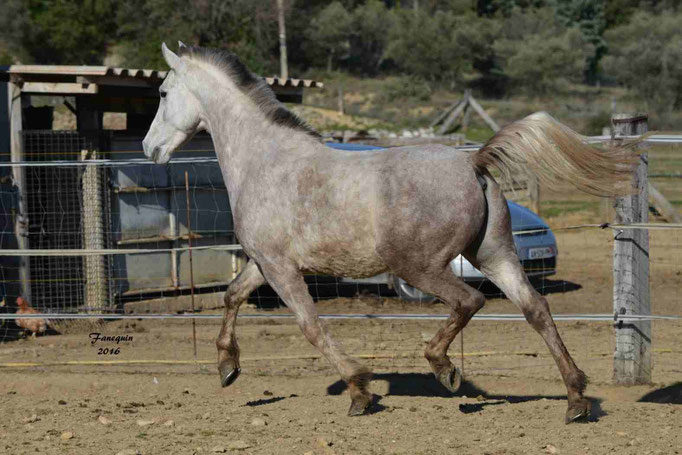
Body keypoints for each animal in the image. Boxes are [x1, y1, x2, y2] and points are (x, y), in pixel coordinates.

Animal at [142, 42, 636, 424]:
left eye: (163, 92)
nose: (149, 148)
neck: (264, 160)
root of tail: (473, 163)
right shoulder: (264, 262)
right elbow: (231, 296)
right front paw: (227, 366)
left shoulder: (281, 268)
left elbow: (310, 325)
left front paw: (360, 391)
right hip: (494, 255)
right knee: (536, 308)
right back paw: (576, 399)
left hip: (420, 267)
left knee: (470, 301)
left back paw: (444, 368)